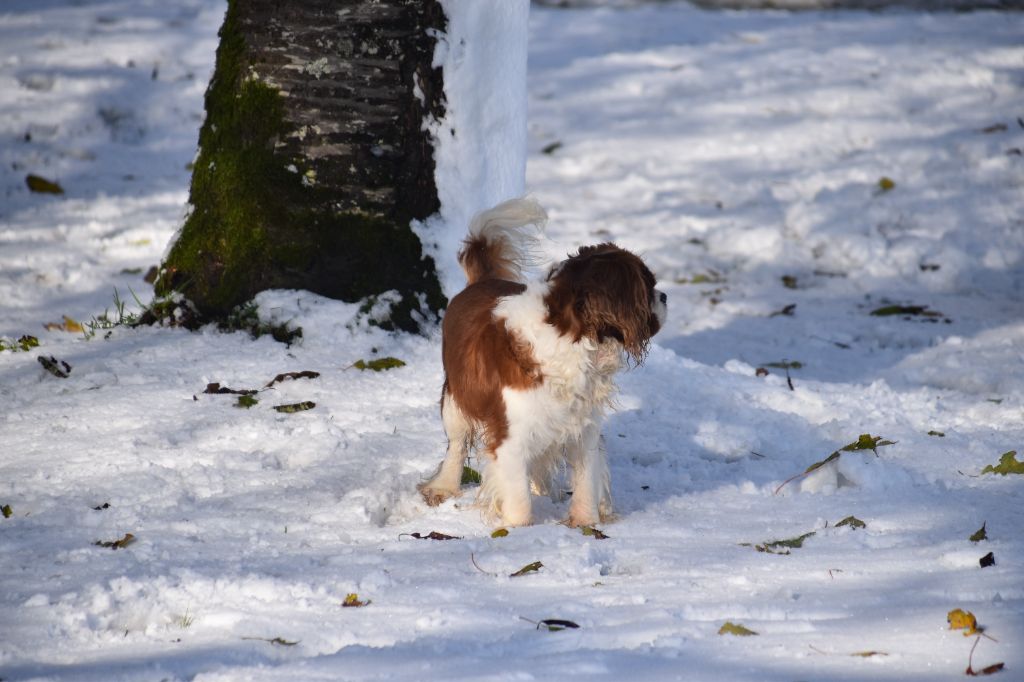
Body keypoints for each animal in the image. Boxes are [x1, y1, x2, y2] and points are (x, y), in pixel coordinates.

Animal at [419, 196, 667, 524]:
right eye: (648, 287)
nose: (665, 297)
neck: (572, 340)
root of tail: (480, 282)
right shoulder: (510, 435)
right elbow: (519, 501)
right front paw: (519, 530)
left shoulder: (584, 428)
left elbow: (586, 482)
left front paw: (585, 525)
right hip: (455, 401)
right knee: (457, 446)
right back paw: (443, 488)